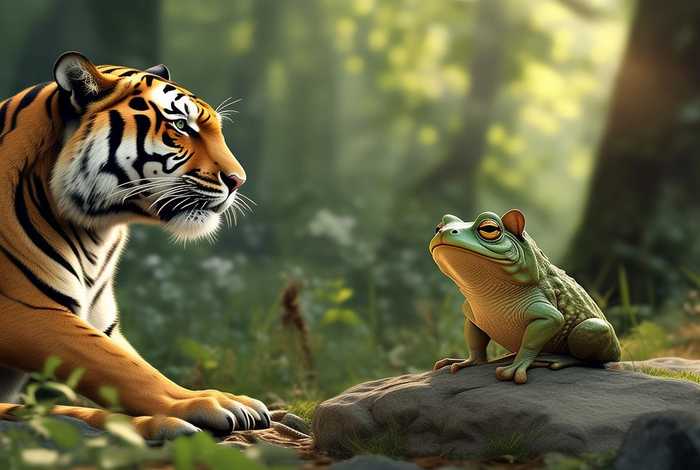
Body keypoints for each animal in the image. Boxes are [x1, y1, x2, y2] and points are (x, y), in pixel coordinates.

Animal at [0, 52, 270, 439]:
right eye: (181, 126)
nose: (238, 180)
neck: (94, 233)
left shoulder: (104, 324)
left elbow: (135, 365)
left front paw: (222, 398)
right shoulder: (28, 311)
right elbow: (123, 369)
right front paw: (208, 404)